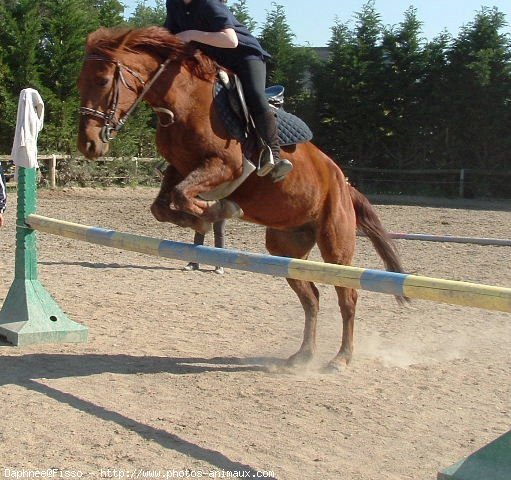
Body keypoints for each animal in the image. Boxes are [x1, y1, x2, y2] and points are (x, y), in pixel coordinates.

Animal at [77, 27, 404, 372]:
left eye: (102, 81)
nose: (88, 145)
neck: (183, 100)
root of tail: (344, 182)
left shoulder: (224, 165)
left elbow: (183, 197)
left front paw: (218, 210)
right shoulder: (179, 168)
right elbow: (162, 206)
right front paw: (202, 217)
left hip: (336, 243)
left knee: (347, 296)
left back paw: (340, 358)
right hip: (286, 247)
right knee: (311, 296)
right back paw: (303, 355)